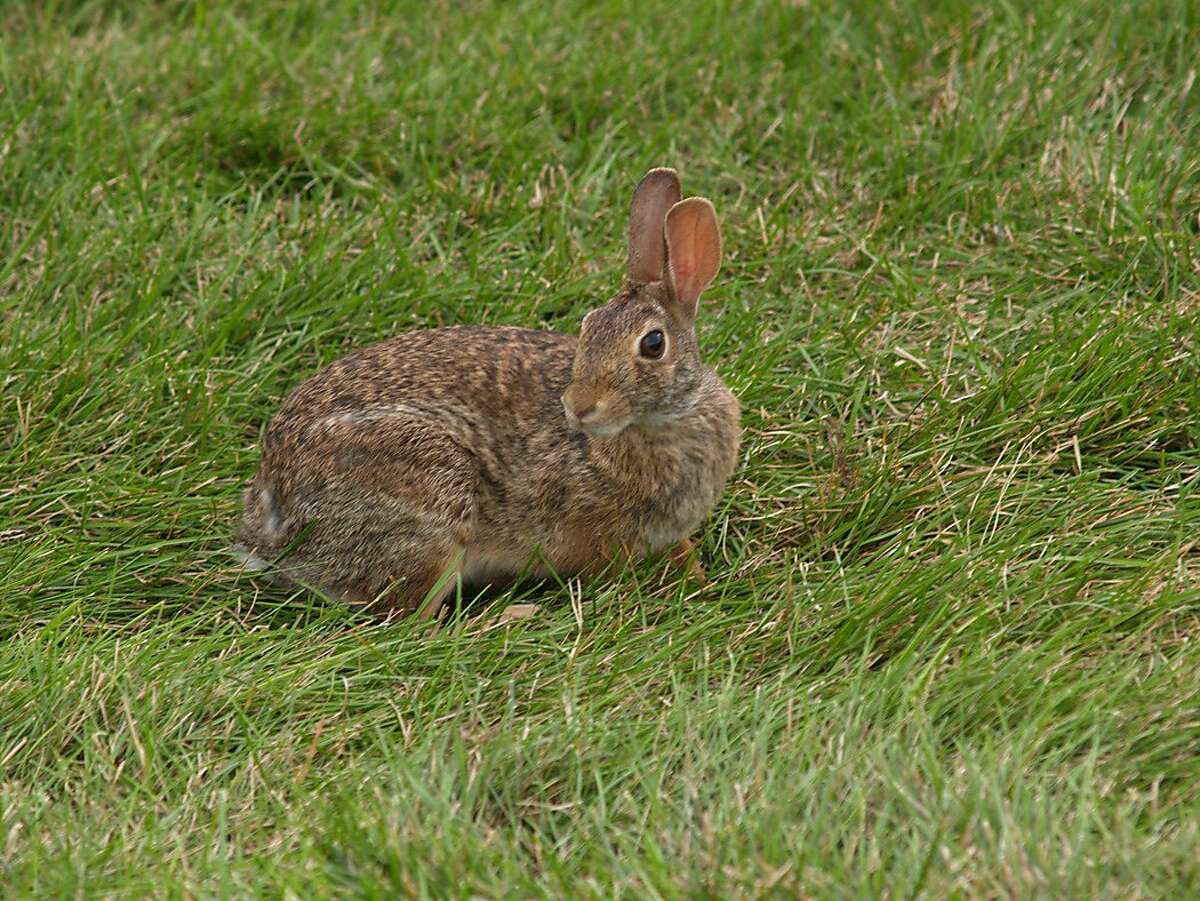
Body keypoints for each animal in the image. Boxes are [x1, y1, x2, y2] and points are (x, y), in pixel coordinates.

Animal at [234, 167, 741, 617]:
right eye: (588, 327)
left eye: (653, 344)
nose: (578, 408)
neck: (664, 420)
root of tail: (275, 515)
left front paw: (694, 571)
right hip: (431, 504)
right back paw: (509, 616)